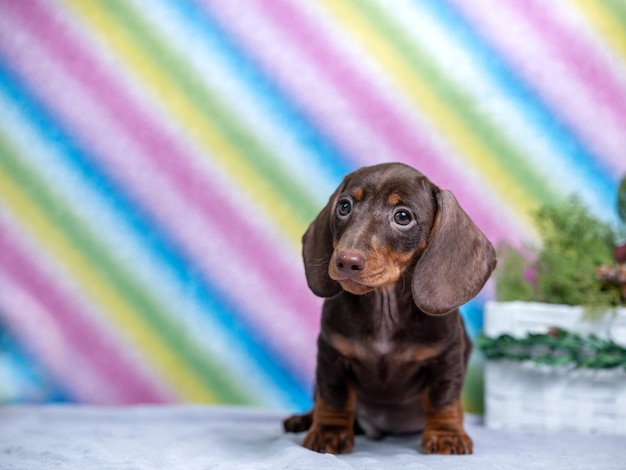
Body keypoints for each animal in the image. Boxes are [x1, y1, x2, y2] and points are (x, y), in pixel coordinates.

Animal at [286, 162, 494, 456]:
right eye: (344, 206)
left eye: (403, 216)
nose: (346, 261)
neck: (385, 309)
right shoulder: (331, 355)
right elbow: (334, 397)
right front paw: (329, 432)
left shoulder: (446, 359)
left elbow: (443, 399)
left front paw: (446, 434)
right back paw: (302, 420)